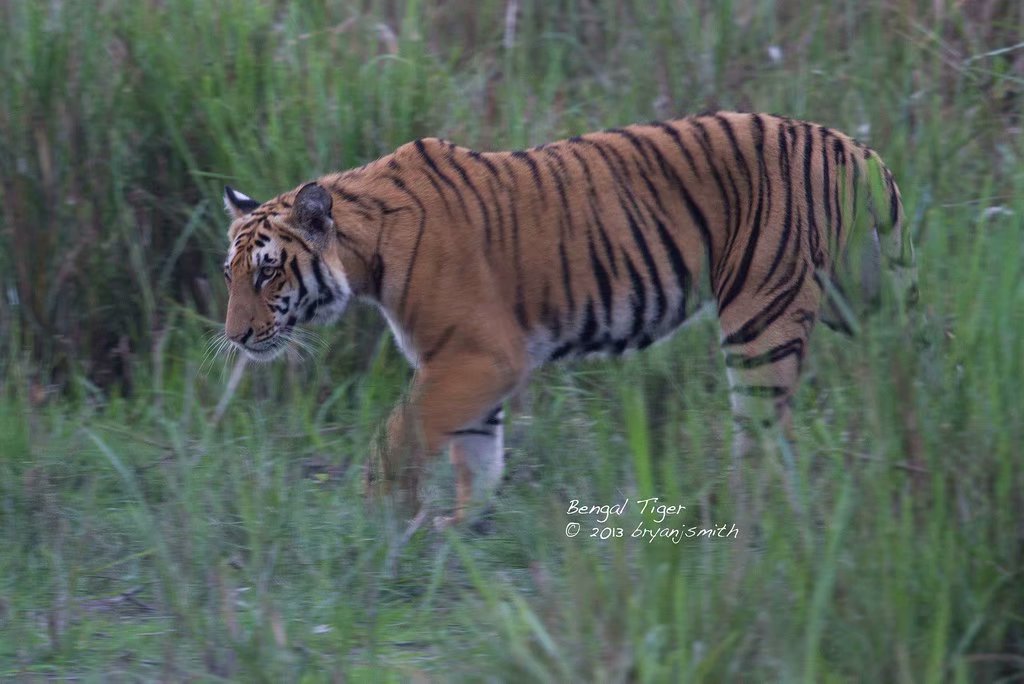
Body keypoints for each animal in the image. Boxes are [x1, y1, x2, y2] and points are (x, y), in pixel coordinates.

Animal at [222, 112, 921, 528]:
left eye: (266, 273)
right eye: (230, 273)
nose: (235, 337)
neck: (366, 248)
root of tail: (851, 146)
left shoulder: (477, 355)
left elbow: (401, 434)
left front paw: (380, 516)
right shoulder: (475, 369)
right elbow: (478, 457)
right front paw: (456, 531)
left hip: (761, 319)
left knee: (765, 438)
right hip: (855, 296)